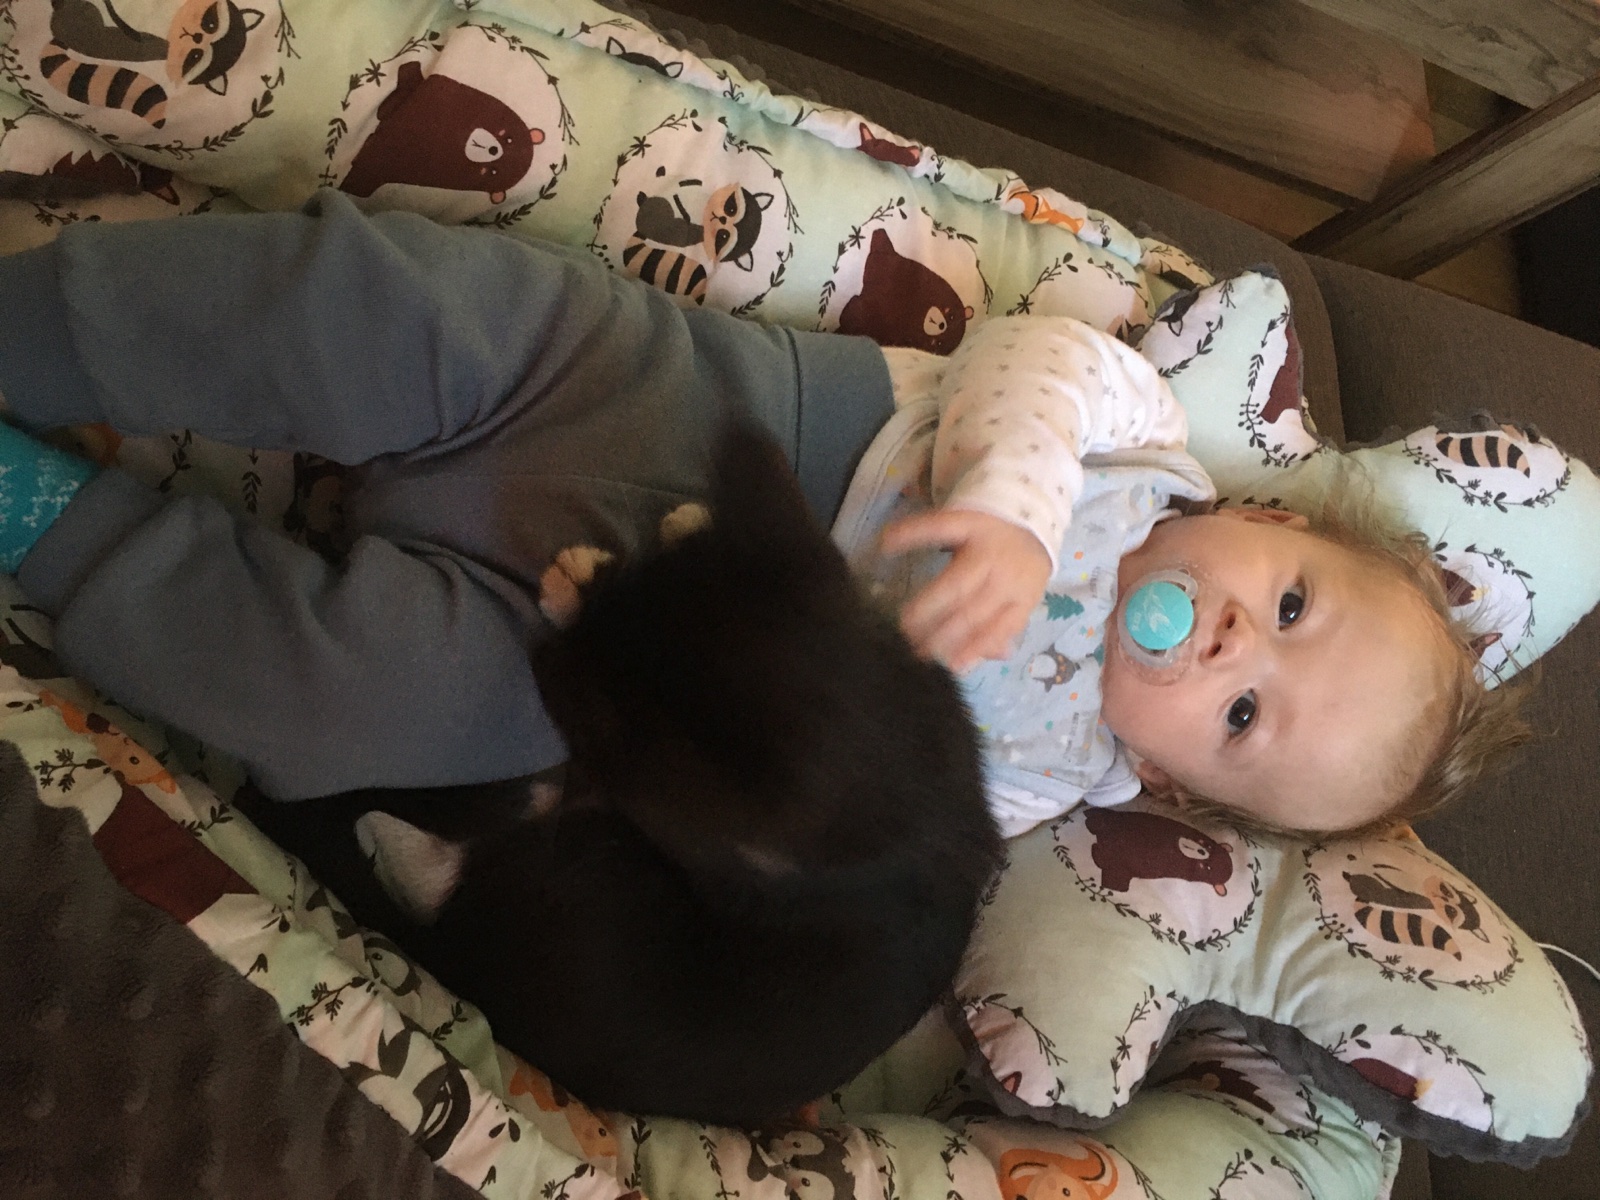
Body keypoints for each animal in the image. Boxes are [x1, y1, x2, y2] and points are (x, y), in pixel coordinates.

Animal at [243, 423, 1002, 1127]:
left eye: (584, 704)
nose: (544, 653)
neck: (912, 779)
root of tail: (474, 977)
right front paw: (670, 535)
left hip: (586, 877)